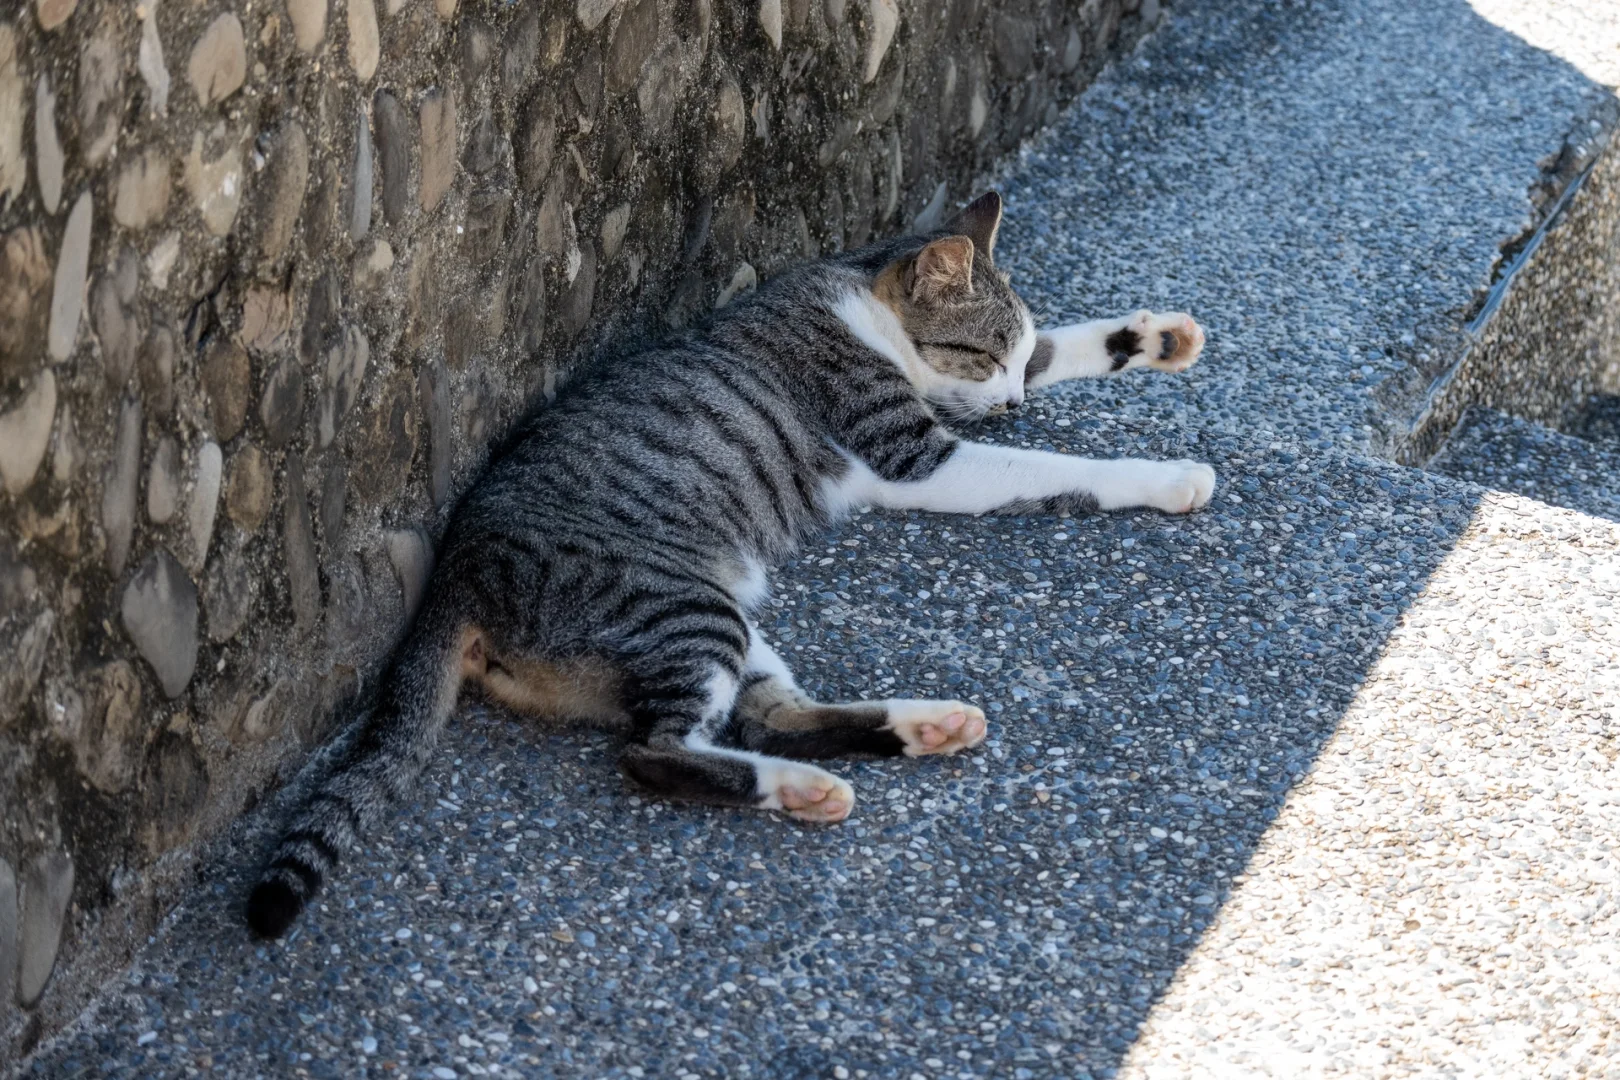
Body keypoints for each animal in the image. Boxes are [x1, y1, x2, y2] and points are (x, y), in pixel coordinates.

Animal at [246, 187, 1211, 939]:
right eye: (981, 355)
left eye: (1007, 353)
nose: (1008, 400)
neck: (856, 295)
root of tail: (454, 577)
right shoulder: (918, 453)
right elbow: (1056, 469)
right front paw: (1165, 474)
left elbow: (1066, 346)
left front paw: (1153, 337)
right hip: (681, 604)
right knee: (657, 751)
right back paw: (807, 784)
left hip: (729, 614)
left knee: (770, 716)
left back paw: (913, 730)